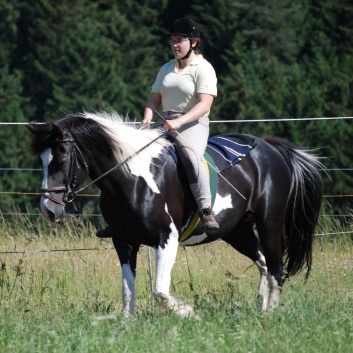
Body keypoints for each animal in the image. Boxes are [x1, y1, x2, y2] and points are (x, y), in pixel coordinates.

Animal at [25, 111, 324, 314]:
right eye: (41, 160)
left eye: (62, 158)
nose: (48, 210)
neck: (132, 178)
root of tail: (269, 148)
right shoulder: (123, 241)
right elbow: (128, 290)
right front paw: (127, 324)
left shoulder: (165, 239)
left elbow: (159, 290)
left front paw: (188, 312)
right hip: (237, 231)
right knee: (263, 262)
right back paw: (261, 307)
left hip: (269, 222)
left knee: (276, 267)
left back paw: (270, 313)